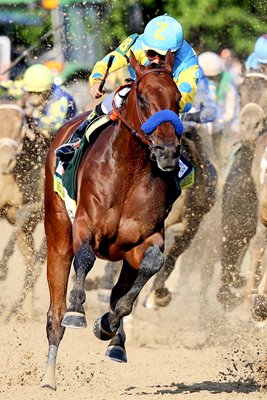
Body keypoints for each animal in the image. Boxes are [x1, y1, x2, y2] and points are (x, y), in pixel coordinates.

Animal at [42, 51, 184, 390]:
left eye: (178, 99)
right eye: (143, 99)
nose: (168, 152)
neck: (129, 172)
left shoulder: (143, 239)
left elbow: (150, 267)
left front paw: (107, 324)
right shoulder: (86, 225)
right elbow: (85, 257)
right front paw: (77, 310)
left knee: (122, 288)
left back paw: (116, 341)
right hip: (57, 233)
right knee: (55, 313)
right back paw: (48, 378)